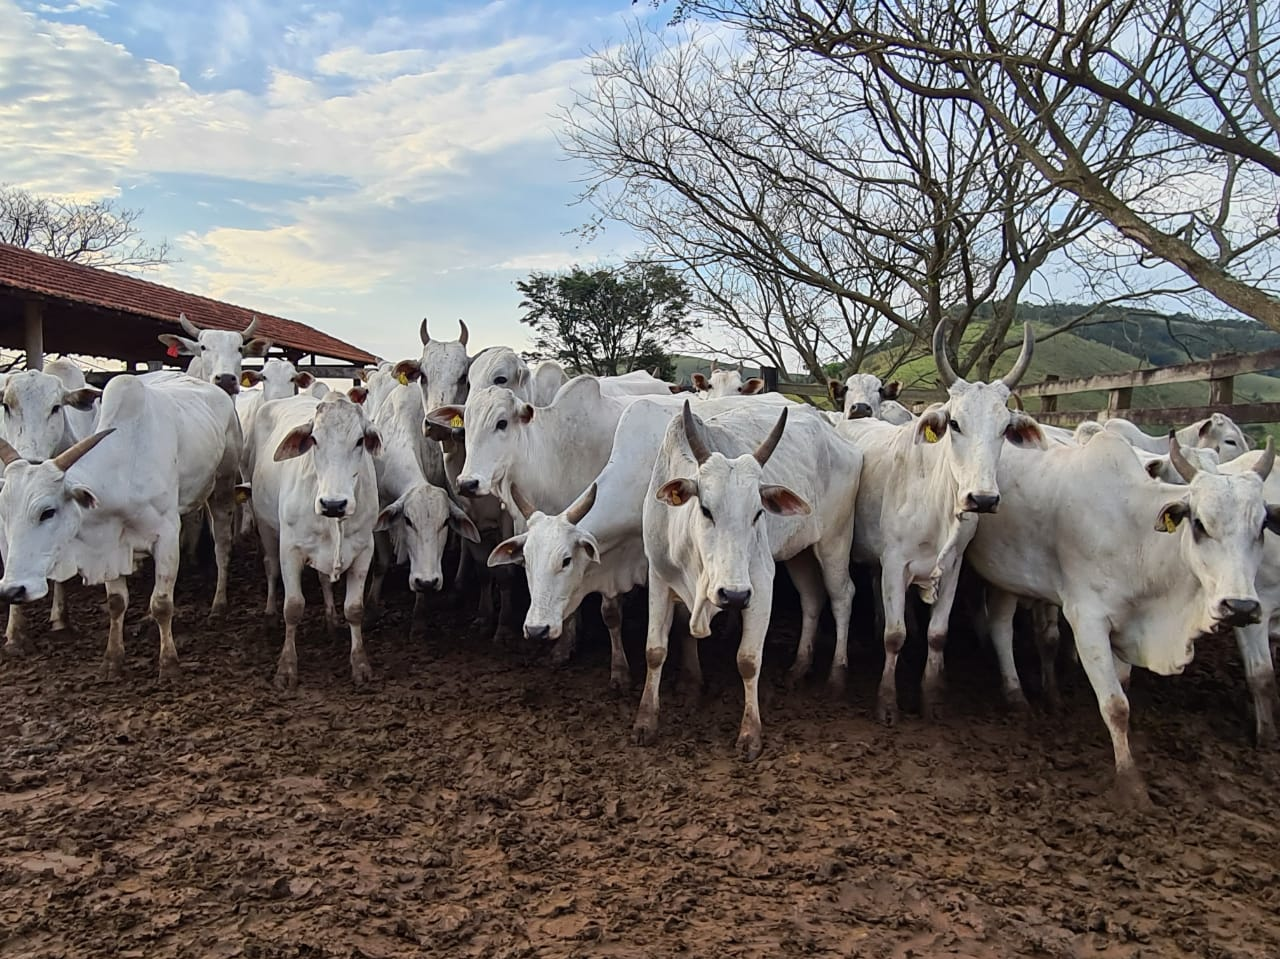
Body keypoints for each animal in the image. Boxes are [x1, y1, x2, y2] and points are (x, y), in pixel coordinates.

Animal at [0, 373, 240, 681]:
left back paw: (219, 604)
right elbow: (116, 603)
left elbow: (163, 603)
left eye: (47, 512)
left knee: (222, 546)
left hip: (222, 489)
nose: (12, 591)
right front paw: (113, 660)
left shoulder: (167, 536)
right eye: (5, 511)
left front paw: (169, 664)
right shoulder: (109, 545)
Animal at [245, 391, 378, 686]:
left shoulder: (364, 550)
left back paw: (331, 620)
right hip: (266, 526)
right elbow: (293, 607)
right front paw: (286, 667)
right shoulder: (290, 550)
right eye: (314, 439)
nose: (333, 504)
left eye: (360, 440)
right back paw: (269, 615)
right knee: (270, 569)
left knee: (323, 579)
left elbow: (355, 609)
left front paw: (360, 664)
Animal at [632, 399, 860, 757]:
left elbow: (748, 660)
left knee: (841, 598)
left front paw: (750, 733)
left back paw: (837, 676)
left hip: (835, 542)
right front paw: (646, 721)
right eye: (706, 510)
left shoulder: (760, 585)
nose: (734, 596)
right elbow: (655, 650)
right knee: (812, 598)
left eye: (758, 513)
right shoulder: (659, 577)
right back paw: (799, 667)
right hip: (798, 553)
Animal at [839, 317, 1039, 722]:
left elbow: (938, 634)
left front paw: (932, 697)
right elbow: (895, 636)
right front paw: (887, 702)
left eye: (1004, 428)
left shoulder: (953, 565)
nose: (982, 498)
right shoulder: (895, 562)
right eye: (956, 424)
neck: (938, 506)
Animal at [962, 432, 1274, 809]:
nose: (1240, 606)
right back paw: (1014, 692)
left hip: (1009, 577)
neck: (1137, 536)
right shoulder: (1087, 621)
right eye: (1199, 524)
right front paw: (1130, 784)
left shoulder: (1128, 627)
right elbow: (1115, 705)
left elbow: (1122, 688)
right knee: (1000, 628)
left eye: (1262, 526)